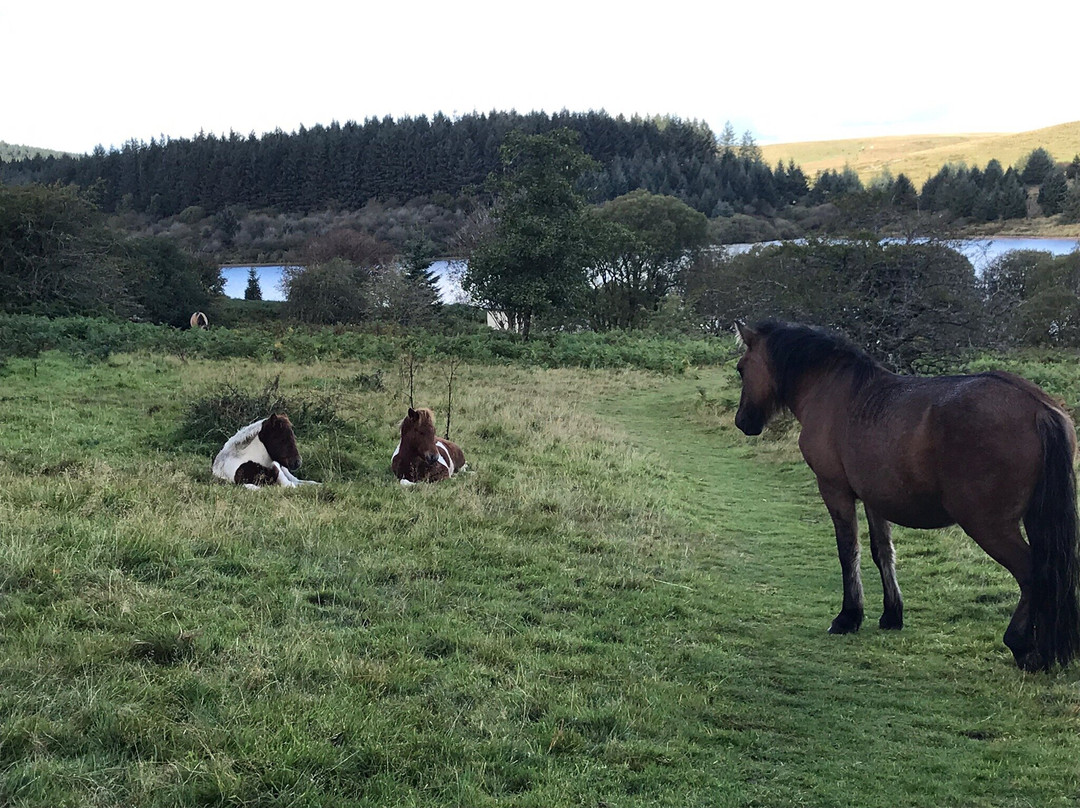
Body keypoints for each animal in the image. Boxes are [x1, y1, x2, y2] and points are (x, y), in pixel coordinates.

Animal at [734, 319, 1080, 674]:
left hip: (989, 526)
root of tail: (1038, 408)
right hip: (1034, 519)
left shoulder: (835, 490)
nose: (742, 421)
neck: (831, 390)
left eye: (741, 369)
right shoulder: (874, 499)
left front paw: (848, 617)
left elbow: (849, 551)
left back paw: (1022, 645)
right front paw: (891, 614)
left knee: (1032, 574)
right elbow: (882, 552)